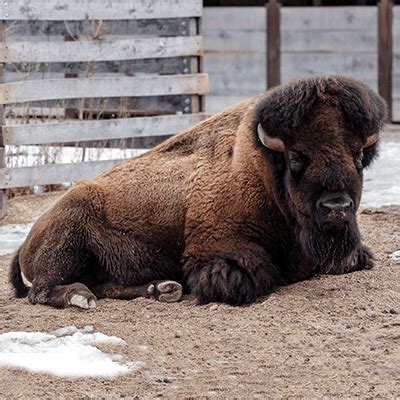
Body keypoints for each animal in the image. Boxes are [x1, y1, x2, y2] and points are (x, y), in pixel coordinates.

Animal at [8, 75, 384, 308]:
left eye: (358, 156)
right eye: (296, 159)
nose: (337, 206)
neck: (263, 169)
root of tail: (26, 241)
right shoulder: (215, 249)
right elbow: (246, 275)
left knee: (104, 285)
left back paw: (162, 289)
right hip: (67, 241)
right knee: (42, 291)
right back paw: (82, 297)